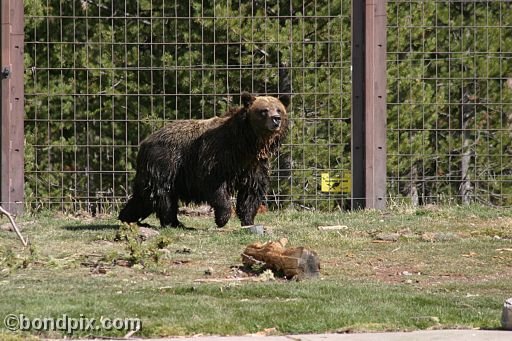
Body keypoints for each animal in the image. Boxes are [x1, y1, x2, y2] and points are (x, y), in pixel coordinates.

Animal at [118, 91, 290, 227]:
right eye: (263, 110)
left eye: (279, 109)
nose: (276, 119)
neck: (246, 143)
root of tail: (145, 142)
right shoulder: (216, 156)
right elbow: (214, 184)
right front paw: (222, 218)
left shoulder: (253, 164)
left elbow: (252, 190)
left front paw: (248, 220)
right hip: (165, 162)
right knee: (163, 194)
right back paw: (173, 221)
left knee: (143, 196)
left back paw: (126, 216)